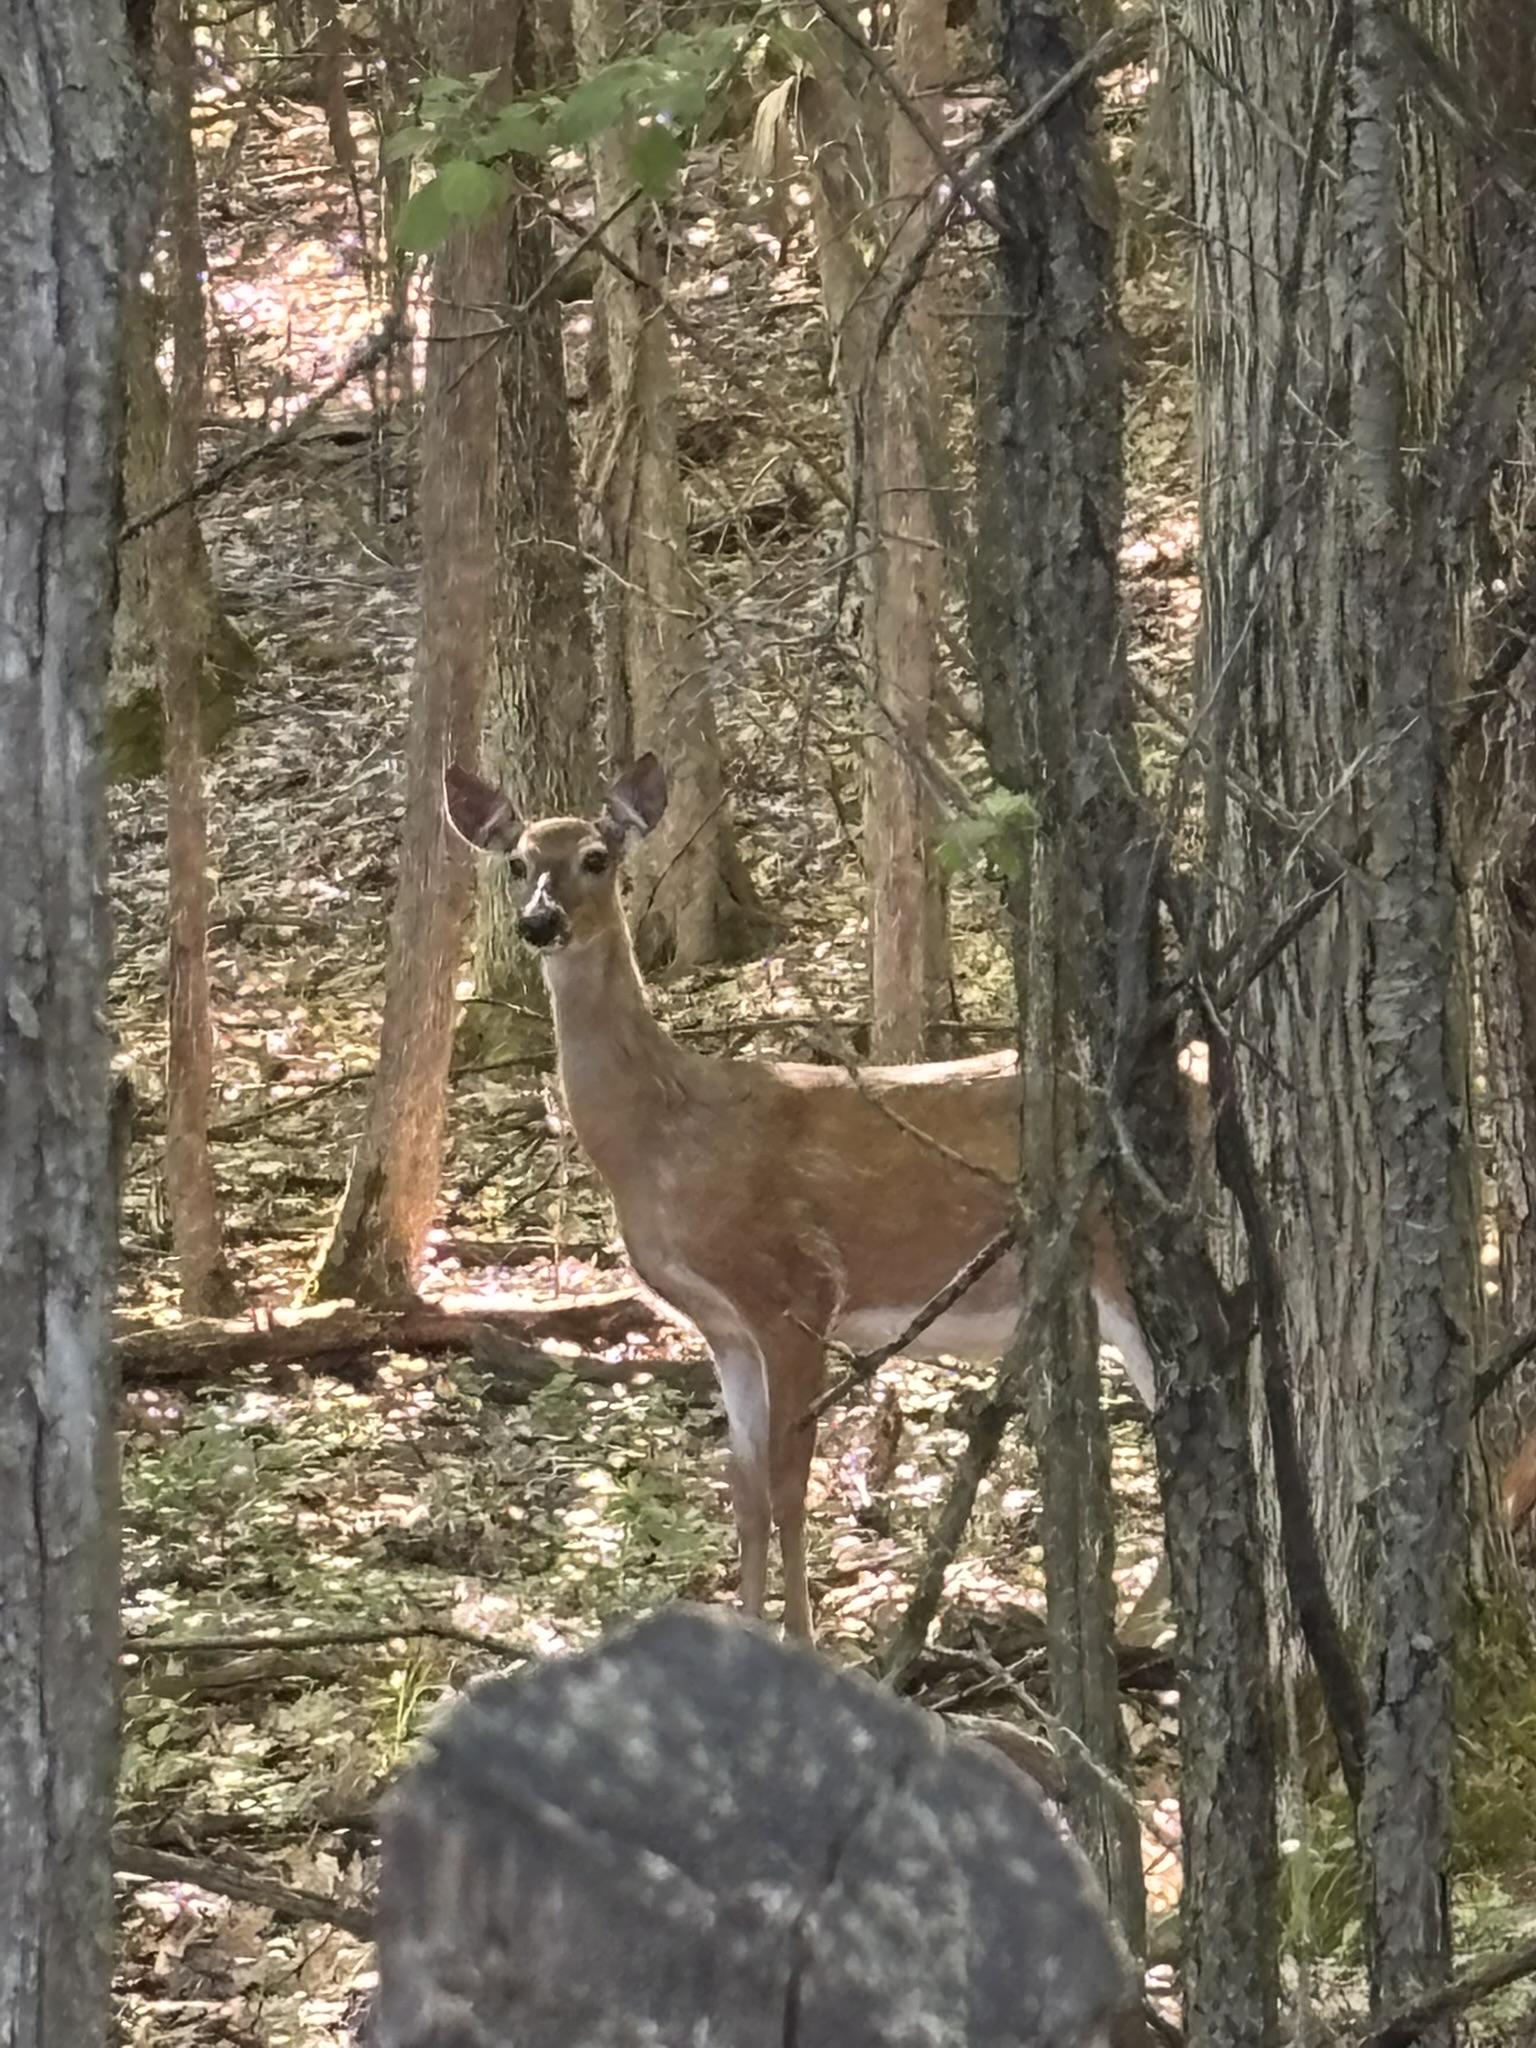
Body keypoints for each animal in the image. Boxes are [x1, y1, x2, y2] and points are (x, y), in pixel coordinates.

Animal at [444, 754, 1157, 1640]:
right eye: (516, 862)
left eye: (596, 859)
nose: (540, 922)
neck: (663, 1138)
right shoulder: (724, 1327)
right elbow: (745, 1490)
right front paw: (748, 1629)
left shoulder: (796, 1290)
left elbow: (790, 1484)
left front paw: (802, 1638)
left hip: (1127, 1264)